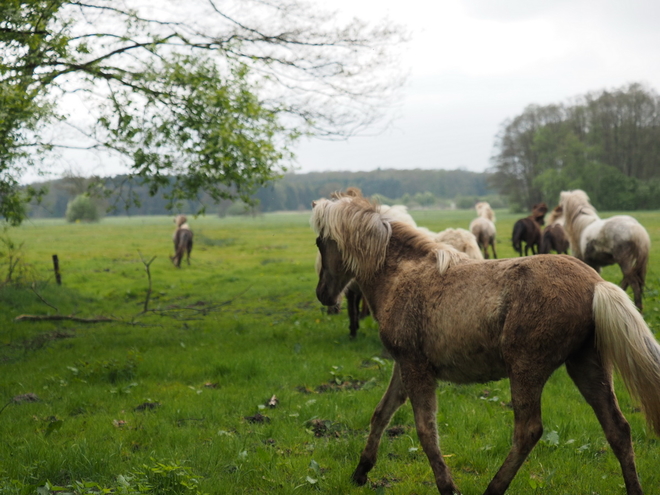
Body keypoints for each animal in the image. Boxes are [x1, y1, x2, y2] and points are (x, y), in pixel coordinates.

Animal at [312, 195, 660, 495]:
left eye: (319, 243)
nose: (323, 295)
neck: (402, 276)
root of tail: (596, 283)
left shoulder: (416, 368)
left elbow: (425, 430)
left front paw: (448, 487)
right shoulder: (404, 365)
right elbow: (382, 413)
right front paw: (361, 471)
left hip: (526, 368)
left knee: (528, 430)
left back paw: (493, 488)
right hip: (586, 365)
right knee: (618, 429)